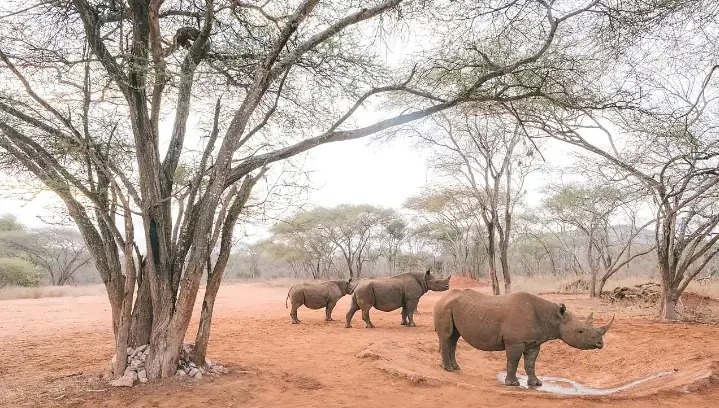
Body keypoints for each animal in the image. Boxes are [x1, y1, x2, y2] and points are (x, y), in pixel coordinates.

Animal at [433, 289, 614, 387]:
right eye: (580, 331)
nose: (600, 343)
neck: (553, 317)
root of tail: (442, 297)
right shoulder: (515, 341)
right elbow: (513, 361)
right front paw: (512, 384)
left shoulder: (534, 342)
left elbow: (530, 363)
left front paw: (536, 383)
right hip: (443, 307)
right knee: (447, 336)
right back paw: (448, 369)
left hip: (452, 307)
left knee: (454, 338)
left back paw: (455, 368)